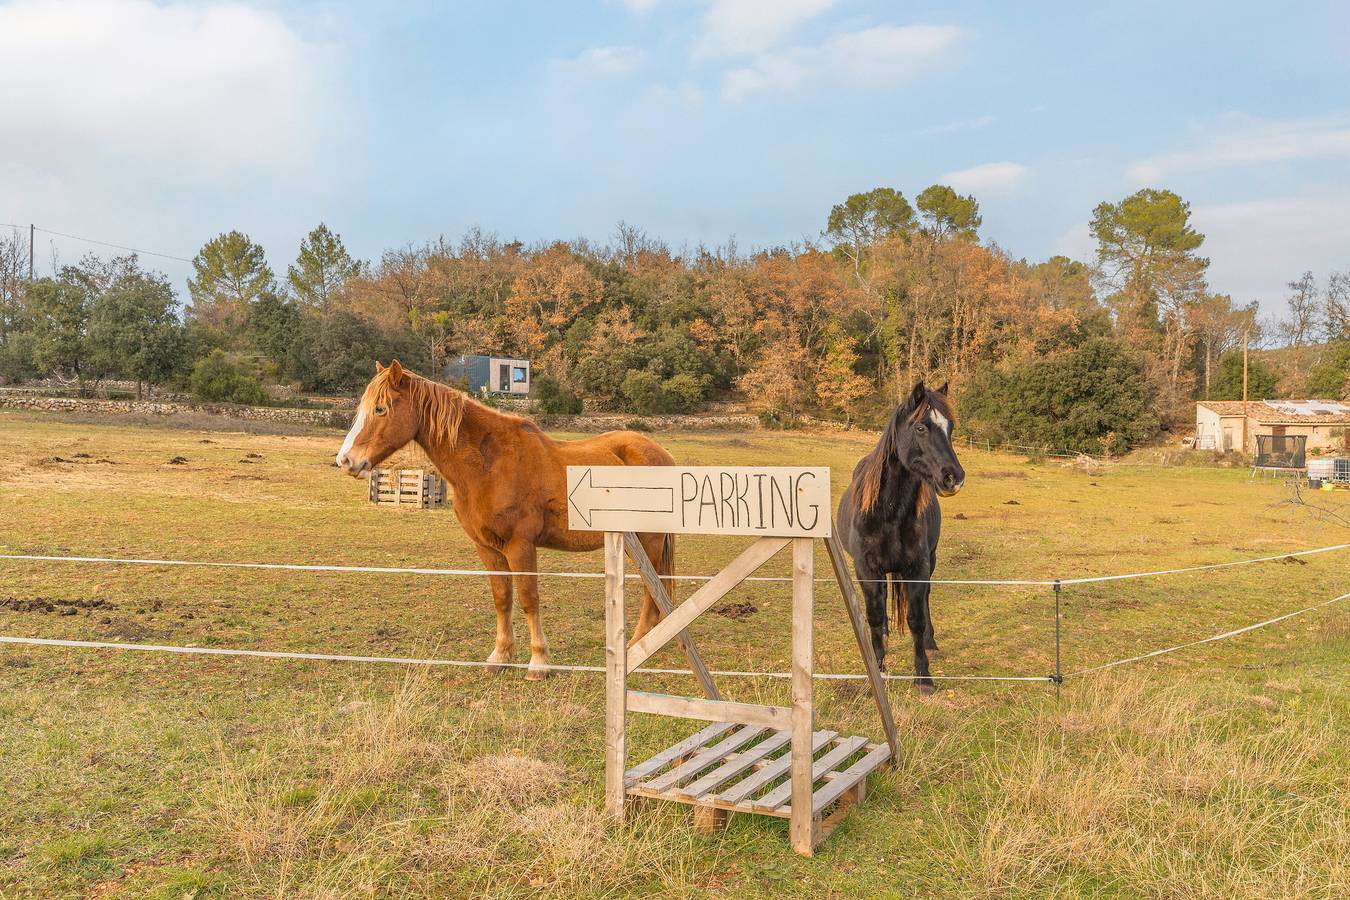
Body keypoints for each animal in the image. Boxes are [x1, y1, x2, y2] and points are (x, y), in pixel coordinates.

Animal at [335, 360, 677, 680]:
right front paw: (500, 656)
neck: (490, 464)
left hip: (649, 540)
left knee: (652, 589)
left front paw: (538, 662)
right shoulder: (488, 548)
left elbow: (528, 599)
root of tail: (660, 454)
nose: (346, 461)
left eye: (380, 408)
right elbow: (502, 598)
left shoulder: (520, 546)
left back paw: (637, 644)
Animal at [835, 381, 965, 692]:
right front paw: (878, 667)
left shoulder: (917, 567)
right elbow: (873, 614)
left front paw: (923, 677)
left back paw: (930, 642)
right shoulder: (866, 568)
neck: (889, 512)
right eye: (920, 427)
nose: (953, 477)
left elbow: (916, 618)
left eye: (950, 427)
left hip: (930, 560)